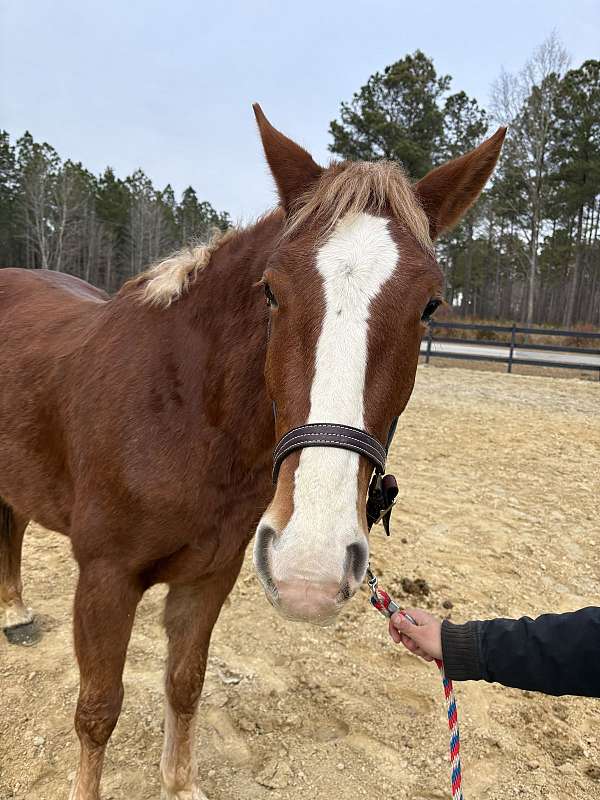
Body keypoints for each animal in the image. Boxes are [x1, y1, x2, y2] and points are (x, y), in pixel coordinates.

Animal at [0, 108, 506, 800]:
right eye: (270, 290)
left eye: (430, 304)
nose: (308, 571)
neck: (182, 412)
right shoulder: (104, 578)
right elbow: (98, 711)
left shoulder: (210, 574)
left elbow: (184, 684)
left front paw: (180, 784)